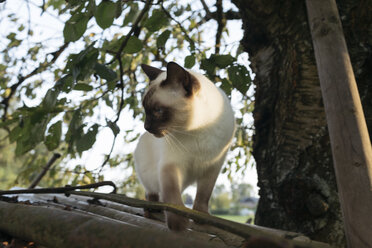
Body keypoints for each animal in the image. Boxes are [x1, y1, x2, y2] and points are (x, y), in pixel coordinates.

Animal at [134, 61, 235, 231]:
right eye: (145, 110)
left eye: (158, 110)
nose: (146, 127)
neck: (199, 131)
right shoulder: (171, 165)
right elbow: (172, 196)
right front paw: (178, 225)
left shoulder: (213, 167)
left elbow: (203, 196)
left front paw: (201, 217)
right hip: (149, 175)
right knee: (152, 194)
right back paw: (151, 211)